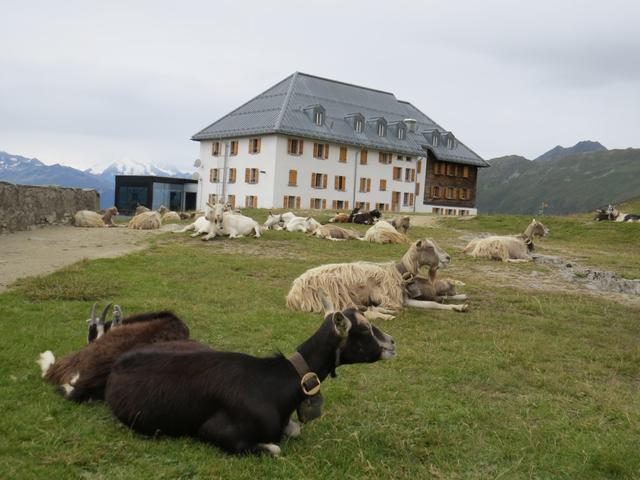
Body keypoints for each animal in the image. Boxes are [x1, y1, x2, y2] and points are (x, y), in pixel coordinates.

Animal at [104, 294, 396, 456]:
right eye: (364, 329)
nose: (392, 343)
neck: (280, 382)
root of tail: (118, 362)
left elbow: (294, 430)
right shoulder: (214, 432)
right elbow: (275, 448)